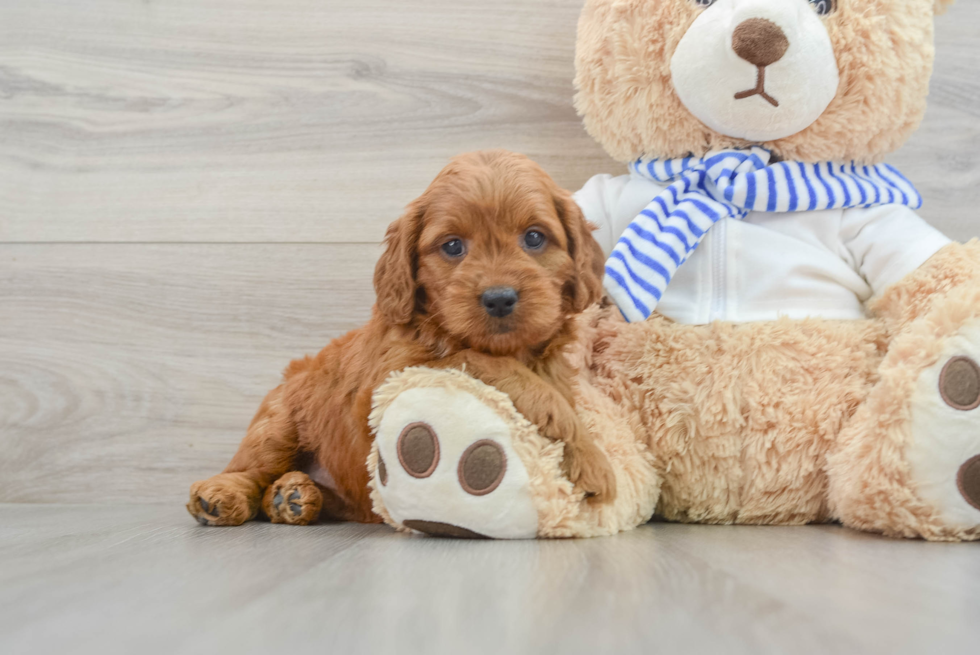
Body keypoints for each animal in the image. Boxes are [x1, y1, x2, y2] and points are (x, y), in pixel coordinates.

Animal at [188, 150, 616, 528]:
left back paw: (292, 495)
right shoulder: (389, 379)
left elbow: (559, 393)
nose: (499, 298)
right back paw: (222, 496)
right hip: (278, 421)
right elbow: (499, 368)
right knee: (250, 466)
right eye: (453, 246)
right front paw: (592, 460)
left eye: (534, 238)